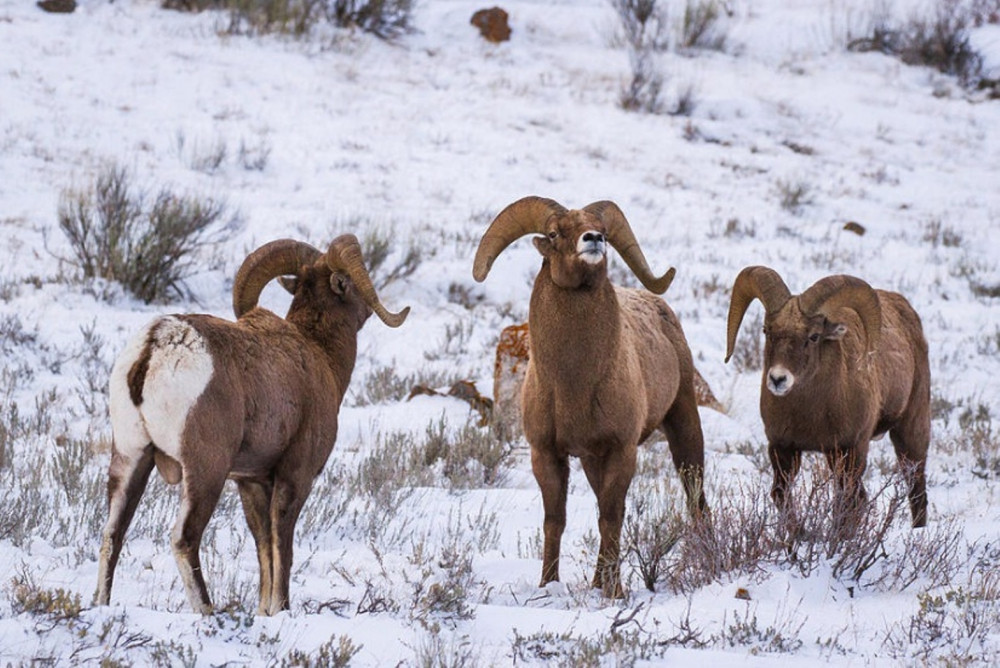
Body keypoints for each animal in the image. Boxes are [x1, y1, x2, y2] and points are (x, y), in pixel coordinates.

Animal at [94, 235, 406, 616]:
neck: (320, 355)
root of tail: (156, 348)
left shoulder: (251, 482)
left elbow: (264, 548)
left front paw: (264, 612)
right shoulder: (294, 476)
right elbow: (282, 547)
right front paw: (281, 609)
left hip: (131, 459)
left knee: (113, 534)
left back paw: (100, 605)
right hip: (205, 472)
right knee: (184, 539)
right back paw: (207, 611)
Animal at [472, 196, 708, 596]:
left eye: (604, 231)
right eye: (554, 233)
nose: (594, 239)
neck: (575, 384)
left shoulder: (622, 450)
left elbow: (610, 518)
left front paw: (612, 593)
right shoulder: (548, 454)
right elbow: (557, 520)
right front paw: (548, 585)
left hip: (683, 422)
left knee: (694, 497)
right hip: (592, 461)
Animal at [728, 266, 928, 528]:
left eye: (813, 336)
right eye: (767, 330)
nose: (778, 379)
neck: (811, 413)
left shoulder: (850, 449)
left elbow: (850, 502)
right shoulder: (782, 449)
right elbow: (781, 494)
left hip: (910, 432)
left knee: (915, 488)